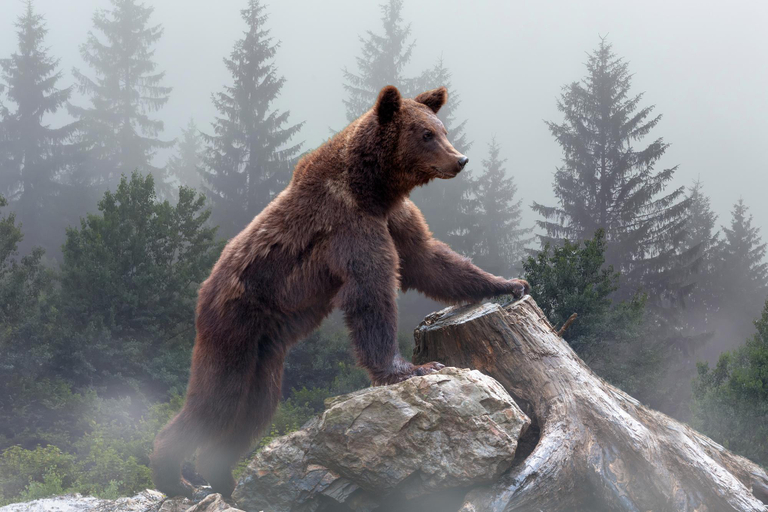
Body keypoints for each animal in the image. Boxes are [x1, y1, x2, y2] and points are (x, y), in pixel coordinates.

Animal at [150, 85, 530, 498]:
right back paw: (176, 479)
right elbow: (371, 291)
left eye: (442, 129)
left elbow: (429, 260)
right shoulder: (348, 223)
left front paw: (510, 283)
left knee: (256, 409)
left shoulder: (394, 217)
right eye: (427, 134)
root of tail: (204, 290)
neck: (374, 188)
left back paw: (222, 476)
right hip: (234, 325)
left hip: (266, 351)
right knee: (217, 400)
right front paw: (412, 368)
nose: (459, 159)